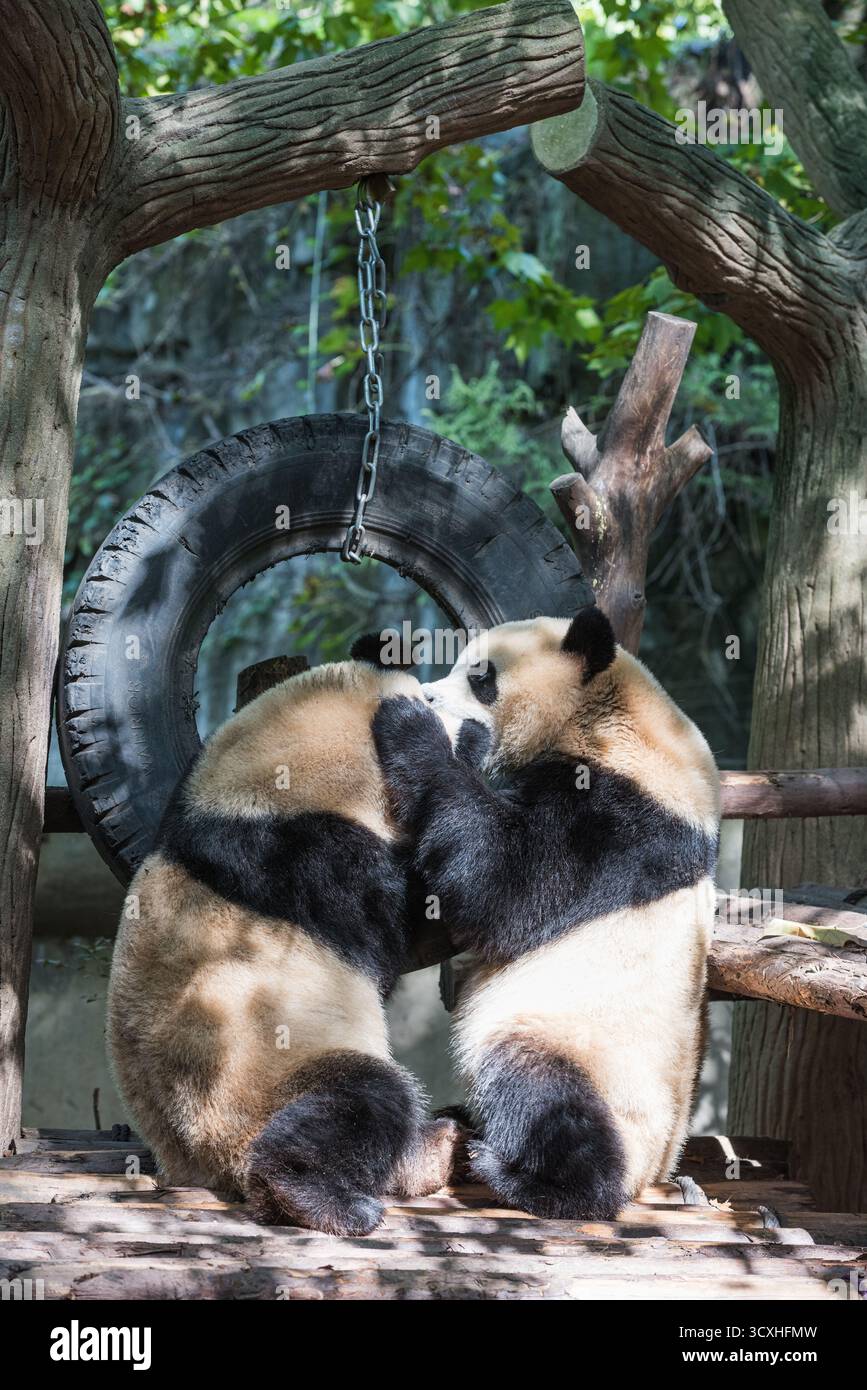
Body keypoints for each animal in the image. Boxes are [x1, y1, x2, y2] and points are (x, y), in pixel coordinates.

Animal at [107, 638, 469, 1238]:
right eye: (435, 700)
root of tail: (202, 1163)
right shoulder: (315, 855)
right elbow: (419, 909)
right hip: (260, 1078)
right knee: (360, 1101)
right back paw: (322, 1195)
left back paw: (445, 1139)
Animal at [371, 606, 720, 1220]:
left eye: (481, 677)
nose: (431, 695)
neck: (612, 718)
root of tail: (655, 1172)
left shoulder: (618, 819)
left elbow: (504, 882)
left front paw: (414, 724)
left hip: (584, 1048)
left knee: (540, 1086)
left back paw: (528, 1177)